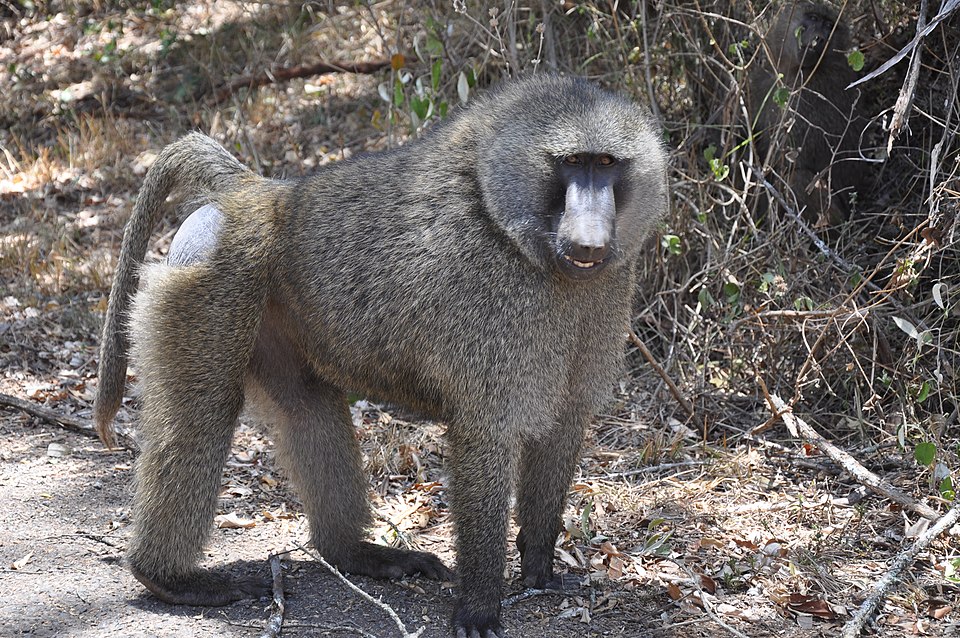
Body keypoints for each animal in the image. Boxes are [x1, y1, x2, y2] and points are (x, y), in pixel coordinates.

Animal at [94, 75, 668, 637]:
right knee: (202, 415)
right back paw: (170, 579)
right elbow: (487, 435)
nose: (590, 241)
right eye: (572, 163)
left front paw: (540, 568)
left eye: (606, 164)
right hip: (215, 278)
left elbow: (564, 424)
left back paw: (354, 555)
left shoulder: (602, 297)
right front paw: (479, 607)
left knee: (307, 406)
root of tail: (256, 194)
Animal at [749, 1, 866, 226]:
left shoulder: (802, 95)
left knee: (797, 178)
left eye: (829, 26)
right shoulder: (763, 81)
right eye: (813, 18)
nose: (818, 38)